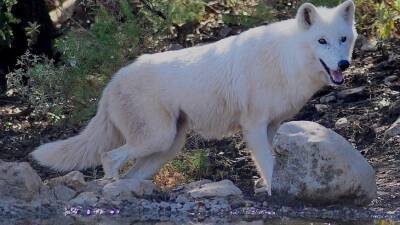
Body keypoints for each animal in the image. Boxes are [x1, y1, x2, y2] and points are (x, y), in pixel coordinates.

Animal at [31, 0, 356, 195]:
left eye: (343, 39)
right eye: (321, 41)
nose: (343, 65)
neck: (286, 59)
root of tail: (112, 83)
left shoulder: (272, 126)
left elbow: (270, 163)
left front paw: (269, 188)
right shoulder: (253, 126)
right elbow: (268, 162)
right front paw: (275, 192)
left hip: (165, 148)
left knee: (129, 172)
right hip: (157, 139)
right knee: (108, 156)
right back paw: (110, 188)